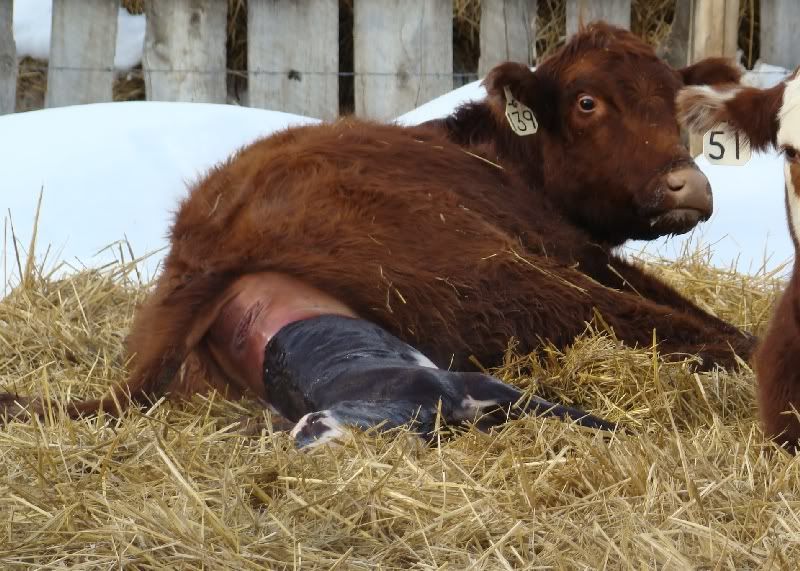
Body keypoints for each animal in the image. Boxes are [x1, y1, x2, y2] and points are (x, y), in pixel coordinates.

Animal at [1, 23, 754, 442]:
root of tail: (208, 236)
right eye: (587, 102)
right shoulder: (569, 252)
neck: (503, 160)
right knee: (666, 328)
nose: (688, 185)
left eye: (678, 104)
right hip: (497, 273)